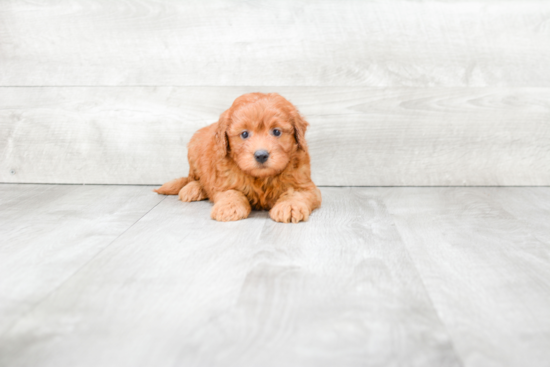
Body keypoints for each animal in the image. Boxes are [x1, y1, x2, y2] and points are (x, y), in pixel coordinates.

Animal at [153, 93, 322, 223]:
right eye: (244, 134)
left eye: (276, 131)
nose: (261, 155)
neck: (261, 178)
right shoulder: (224, 183)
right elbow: (231, 193)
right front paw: (229, 207)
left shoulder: (306, 185)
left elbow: (296, 194)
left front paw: (290, 207)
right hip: (193, 150)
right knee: (193, 178)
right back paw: (193, 189)